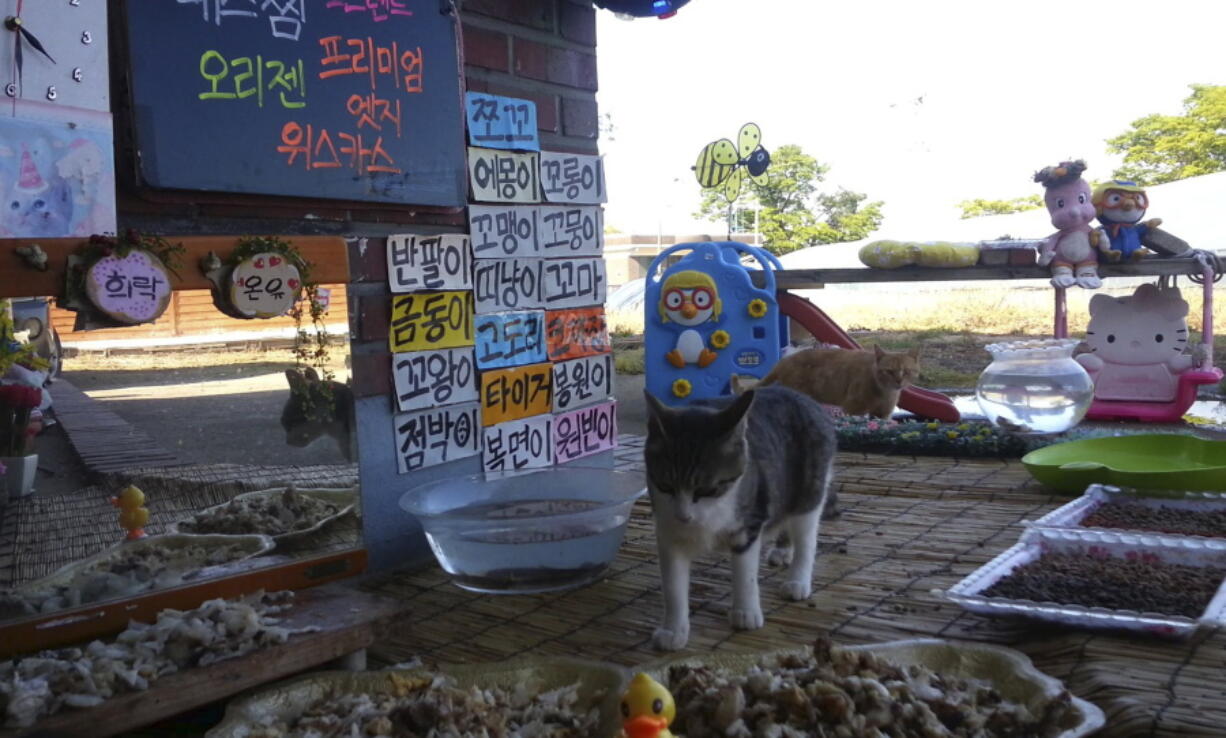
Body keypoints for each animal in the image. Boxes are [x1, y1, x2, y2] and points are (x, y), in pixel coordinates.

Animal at [642, 384, 833, 647]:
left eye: (707, 490)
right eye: (665, 486)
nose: (684, 516)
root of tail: (805, 398)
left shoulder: (749, 522)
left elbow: (745, 573)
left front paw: (746, 612)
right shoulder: (669, 531)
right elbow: (673, 585)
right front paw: (673, 630)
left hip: (809, 489)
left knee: (806, 536)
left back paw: (798, 580)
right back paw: (783, 550)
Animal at [755, 340, 921, 416]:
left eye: (907, 371)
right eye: (889, 371)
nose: (899, 381)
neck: (885, 392)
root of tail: (783, 361)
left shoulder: (882, 414)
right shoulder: (853, 408)